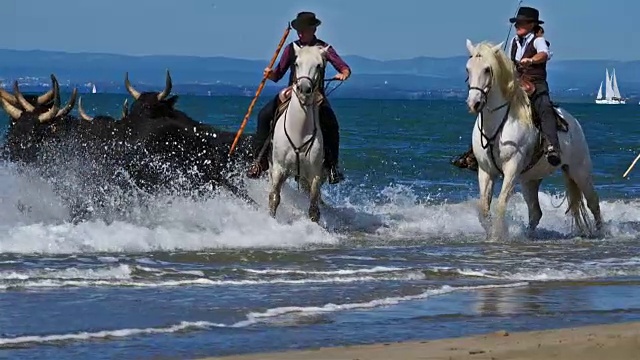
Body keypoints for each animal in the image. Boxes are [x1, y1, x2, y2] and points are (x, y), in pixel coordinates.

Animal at [268, 44, 330, 224]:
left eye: (319, 65)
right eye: (296, 63)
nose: (304, 89)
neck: (299, 132)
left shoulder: (315, 174)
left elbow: (314, 208)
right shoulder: (279, 169)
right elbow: (274, 198)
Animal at [462, 39, 604, 239]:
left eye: (487, 69)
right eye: (468, 69)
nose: (473, 104)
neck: (498, 123)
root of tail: (574, 123)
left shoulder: (512, 168)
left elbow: (501, 204)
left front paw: (498, 235)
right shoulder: (485, 171)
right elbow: (483, 209)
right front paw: (491, 234)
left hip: (580, 171)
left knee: (593, 202)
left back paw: (602, 233)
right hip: (530, 179)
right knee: (536, 212)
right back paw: (529, 236)